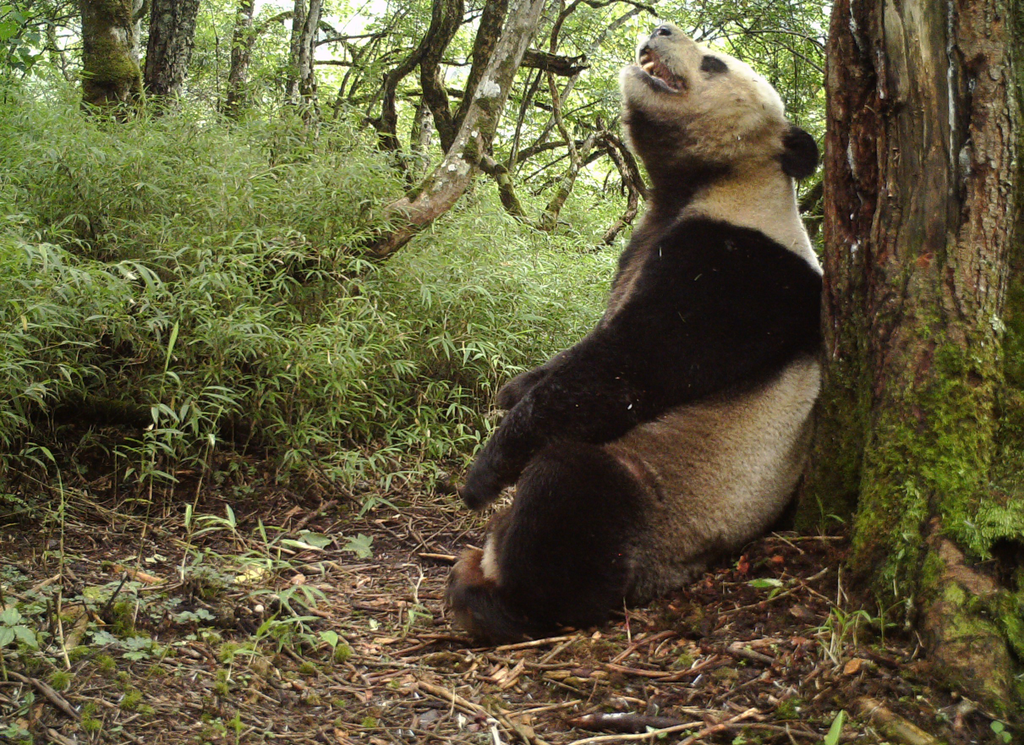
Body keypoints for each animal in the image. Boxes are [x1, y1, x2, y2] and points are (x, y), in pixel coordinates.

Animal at [446, 21, 823, 638]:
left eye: (714, 63)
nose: (661, 27)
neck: (716, 183)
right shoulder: (640, 245)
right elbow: (584, 347)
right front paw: (512, 388)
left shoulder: (733, 273)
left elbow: (625, 371)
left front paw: (483, 472)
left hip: (673, 495)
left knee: (574, 495)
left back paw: (493, 600)